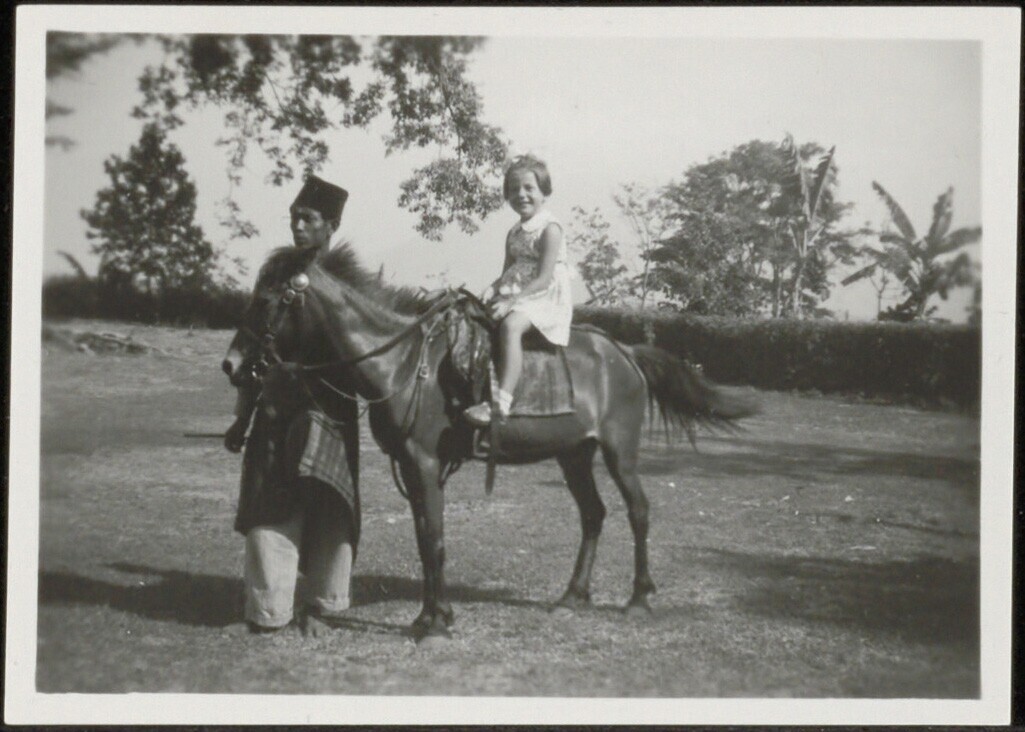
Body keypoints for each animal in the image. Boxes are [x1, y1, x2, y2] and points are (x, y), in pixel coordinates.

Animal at [222, 243, 757, 643]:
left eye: (267, 299)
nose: (232, 364)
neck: (404, 360)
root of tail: (624, 352)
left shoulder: (424, 462)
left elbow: (435, 540)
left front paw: (436, 623)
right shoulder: (412, 467)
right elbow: (424, 538)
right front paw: (429, 615)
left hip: (619, 453)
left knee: (638, 512)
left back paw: (640, 597)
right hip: (574, 455)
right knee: (593, 515)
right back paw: (572, 596)